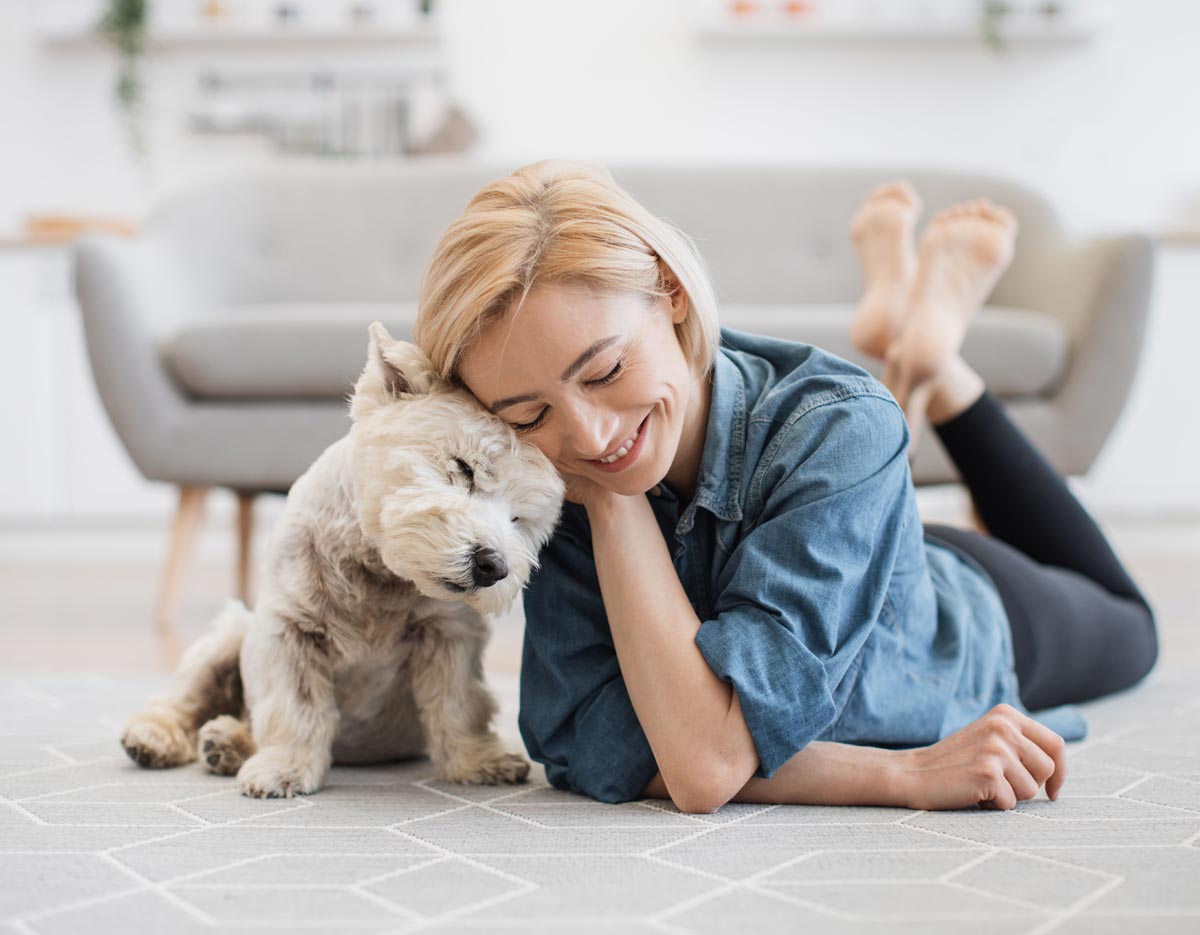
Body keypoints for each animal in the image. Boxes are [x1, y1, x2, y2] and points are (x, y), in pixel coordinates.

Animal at [120, 321, 566, 796]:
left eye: (519, 519)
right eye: (464, 468)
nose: (493, 566)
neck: (380, 572)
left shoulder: (450, 635)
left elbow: (459, 703)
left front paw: (479, 761)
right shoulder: (287, 630)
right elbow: (294, 708)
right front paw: (283, 769)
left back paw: (226, 743)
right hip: (230, 635)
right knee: (185, 698)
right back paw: (158, 738)